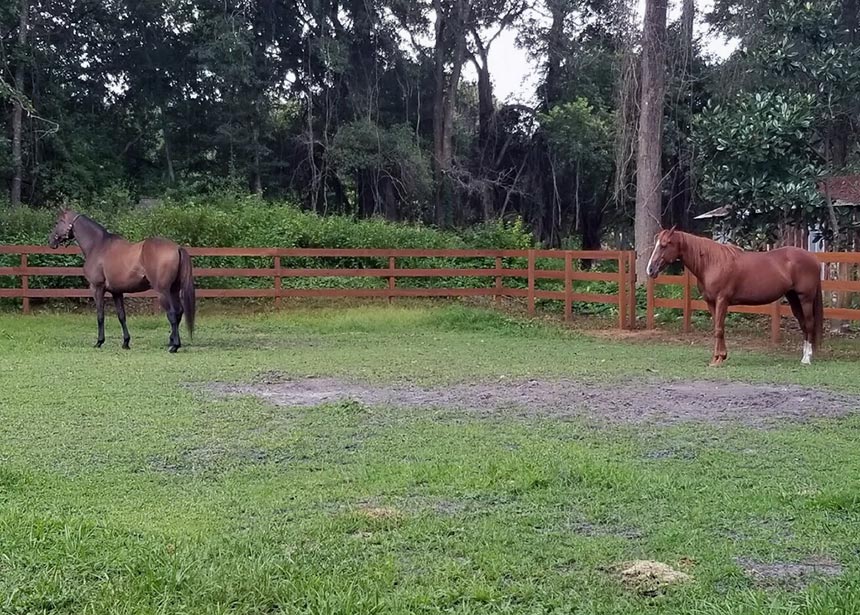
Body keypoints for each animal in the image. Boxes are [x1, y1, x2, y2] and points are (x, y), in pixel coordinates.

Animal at [50, 211, 198, 352]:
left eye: (58, 222)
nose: (51, 240)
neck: (98, 246)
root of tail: (177, 247)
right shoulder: (117, 292)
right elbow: (121, 316)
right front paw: (126, 343)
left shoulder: (97, 288)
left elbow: (100, 315)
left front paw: (99, 342)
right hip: (174, 290)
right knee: (178, 312)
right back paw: (171, 341)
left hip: (163, 292)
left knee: (172, 314)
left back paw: (174, 346)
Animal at [648, 230, 824, 366]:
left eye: (664, 245)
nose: (650, 269)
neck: (712, 262)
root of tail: (813, 258)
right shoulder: (711, 303)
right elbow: (718, 328)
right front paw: (718, 357)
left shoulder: (722, 300)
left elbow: (719, 329)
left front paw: (718, 360)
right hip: (794, 299)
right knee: (803, 325)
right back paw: (804, 356)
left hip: (805, 299)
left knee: (809, 324)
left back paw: (807, 359)